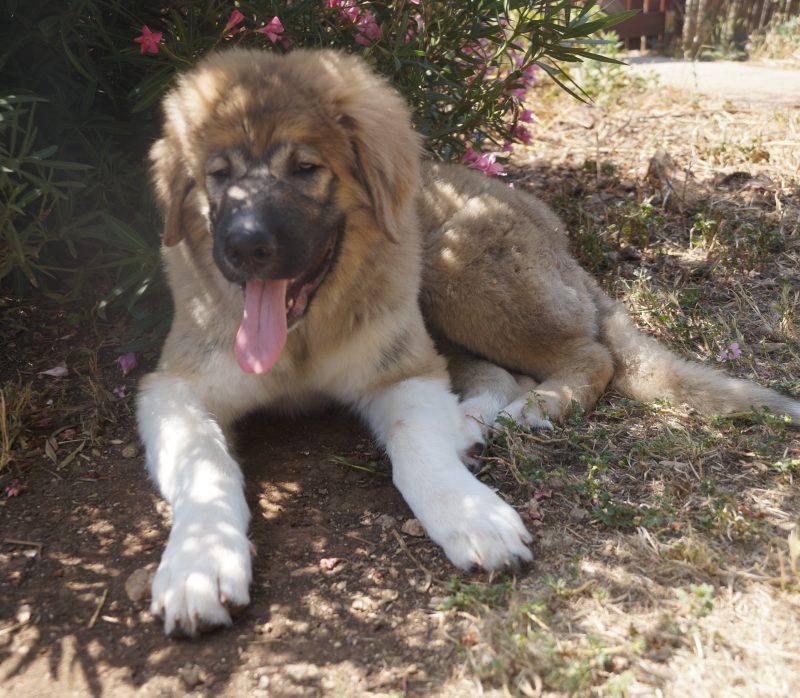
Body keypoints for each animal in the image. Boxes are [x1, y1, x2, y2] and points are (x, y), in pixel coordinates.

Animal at [139, 47, 800, 636]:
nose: (244, 248)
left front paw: (468, 512)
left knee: (590, 355)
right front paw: (199, 563)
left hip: (457, 267)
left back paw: (532, 409)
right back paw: (475, 422)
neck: (303, 335)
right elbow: (203, 465)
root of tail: (558, 239)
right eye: (218, 176)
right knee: (508, 374)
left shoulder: (401, 369)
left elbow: (415, 442)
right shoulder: (173, 387)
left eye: (305, 168)